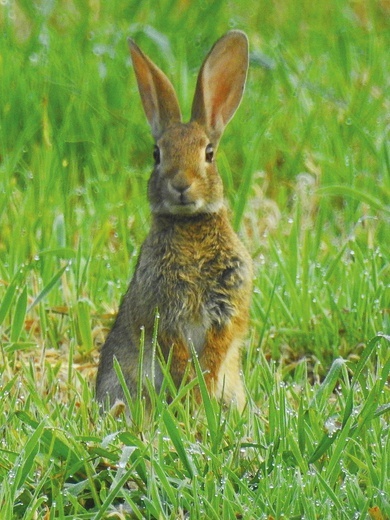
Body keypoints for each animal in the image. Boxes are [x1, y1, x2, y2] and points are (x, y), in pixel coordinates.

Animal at [95, 29, 253, 410]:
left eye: (208, 153)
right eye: (157, 154)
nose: (181, 185)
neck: (189, 224)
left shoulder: (228, 307)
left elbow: (218, 347)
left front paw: (202, 389)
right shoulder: (161, 311)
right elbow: (174, 347)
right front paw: (191, 390)